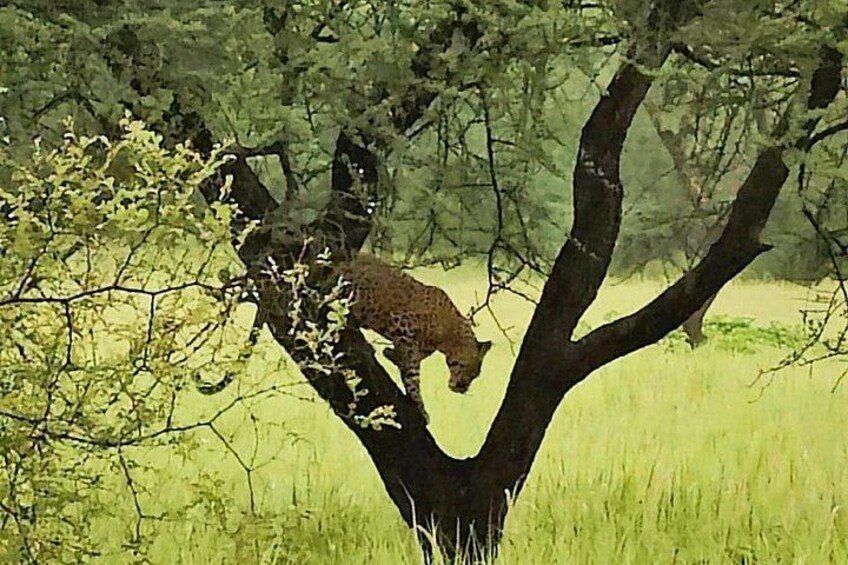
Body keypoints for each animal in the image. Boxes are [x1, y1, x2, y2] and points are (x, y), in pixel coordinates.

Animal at [337, 255, 492, 423]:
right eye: (466, 368)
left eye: (475, 375)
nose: (462, 388)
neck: (448, 336)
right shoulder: (402, 328)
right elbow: (412, 375)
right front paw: (419, 404)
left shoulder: (417, 348)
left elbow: (408, 364)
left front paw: (390, 354)